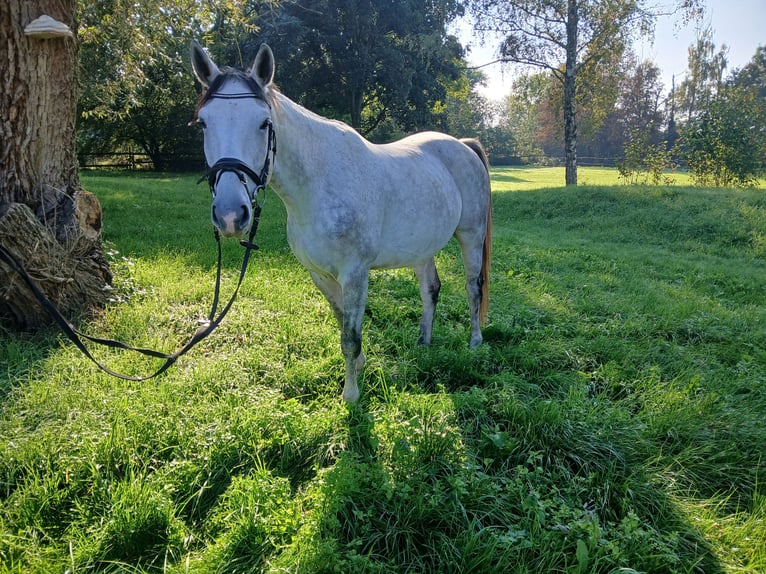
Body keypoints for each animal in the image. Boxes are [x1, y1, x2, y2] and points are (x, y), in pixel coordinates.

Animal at [190, 41, 492, 402]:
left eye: (264, 123)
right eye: (203, 123)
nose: (230, 214)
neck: (318, 185)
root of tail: (463, 146)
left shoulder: (355, 274)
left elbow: (350, 336)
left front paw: (351, 395)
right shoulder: (320, 274)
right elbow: (342, 323)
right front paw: (359, 367)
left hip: (471, 235)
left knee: (473, 287)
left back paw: (475, 342)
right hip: (422, 248)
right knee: (430, 289)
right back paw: (423, 343)